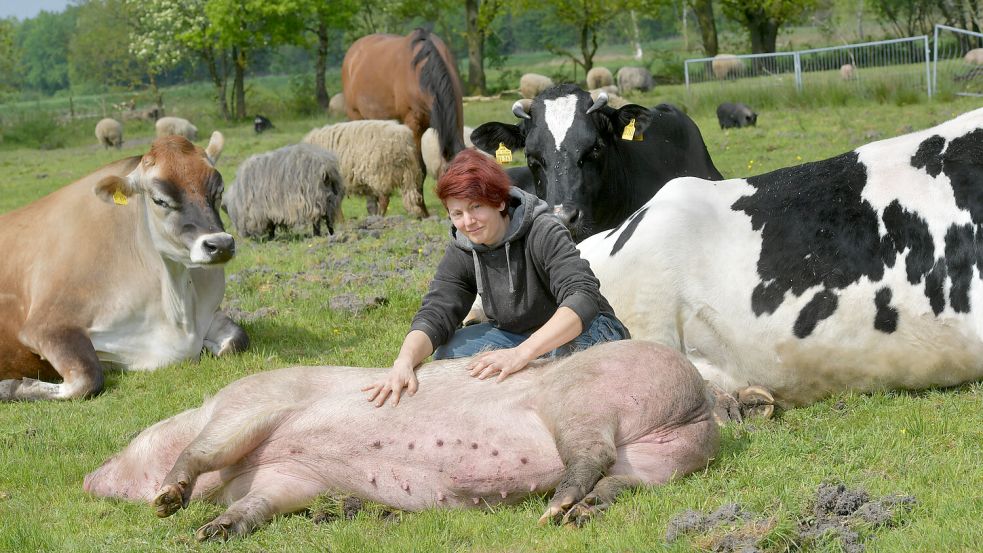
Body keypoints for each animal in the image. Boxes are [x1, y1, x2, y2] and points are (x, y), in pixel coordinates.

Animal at [0, 133, 250, 402]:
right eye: (159, 200)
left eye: (218, 191)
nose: (220, 244)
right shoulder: (45, 326)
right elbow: (88, 378)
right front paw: (10, 387)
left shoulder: (211, 311)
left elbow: (237, 341)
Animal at [84, 340, 720, 540]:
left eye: (133, 437)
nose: (87, 478)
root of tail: (700, 408)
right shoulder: (288, 478)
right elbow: (258, 505)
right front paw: (212, 532)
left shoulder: (257, 403)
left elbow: (202, 449)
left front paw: (167, 503)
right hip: (658, 461)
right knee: (619, 481)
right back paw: (578, 515)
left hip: (582, 398)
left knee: (591, 454)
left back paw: (554, 513)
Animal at [342, 29, 466, 217]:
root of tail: (353, 52)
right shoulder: (413, 126)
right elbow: (419, 169)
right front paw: (421, 211)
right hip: (356, 117)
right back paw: (373, 206)